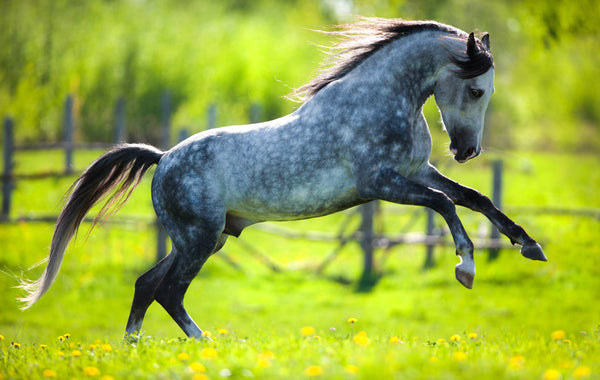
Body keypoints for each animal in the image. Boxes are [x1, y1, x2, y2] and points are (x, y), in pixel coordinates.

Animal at [18, 17, 548, 338]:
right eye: (476, 90)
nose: (467, 151)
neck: (382, 100)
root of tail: (163, 157)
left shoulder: (418, 172)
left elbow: (476, 199)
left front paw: (530, 246)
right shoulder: (381, 184)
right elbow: (446, 204)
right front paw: (465, 268)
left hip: (203, 239)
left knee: (147, 285)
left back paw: (138, 347)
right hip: (198, 240)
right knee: (168, 291)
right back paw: (204, 345)